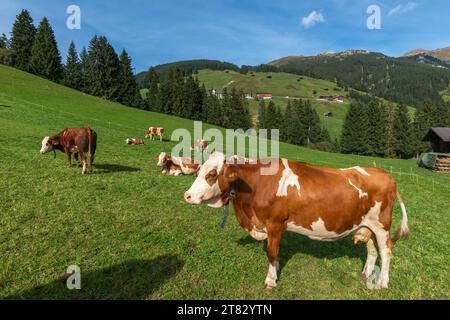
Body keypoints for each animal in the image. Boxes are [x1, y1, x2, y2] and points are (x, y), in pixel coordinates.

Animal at [185, 152, 410, 290]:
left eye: (212, 174)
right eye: (199, 170)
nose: (187, 196)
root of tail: (385, 174)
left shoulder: (275, 223)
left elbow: (271, 252)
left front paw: (270, 280)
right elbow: (274, 252)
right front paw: (275, 271)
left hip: (382, 226)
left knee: (386, 251)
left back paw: (382, 283)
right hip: (367, 225)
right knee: (372, 250)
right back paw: (366, 274)